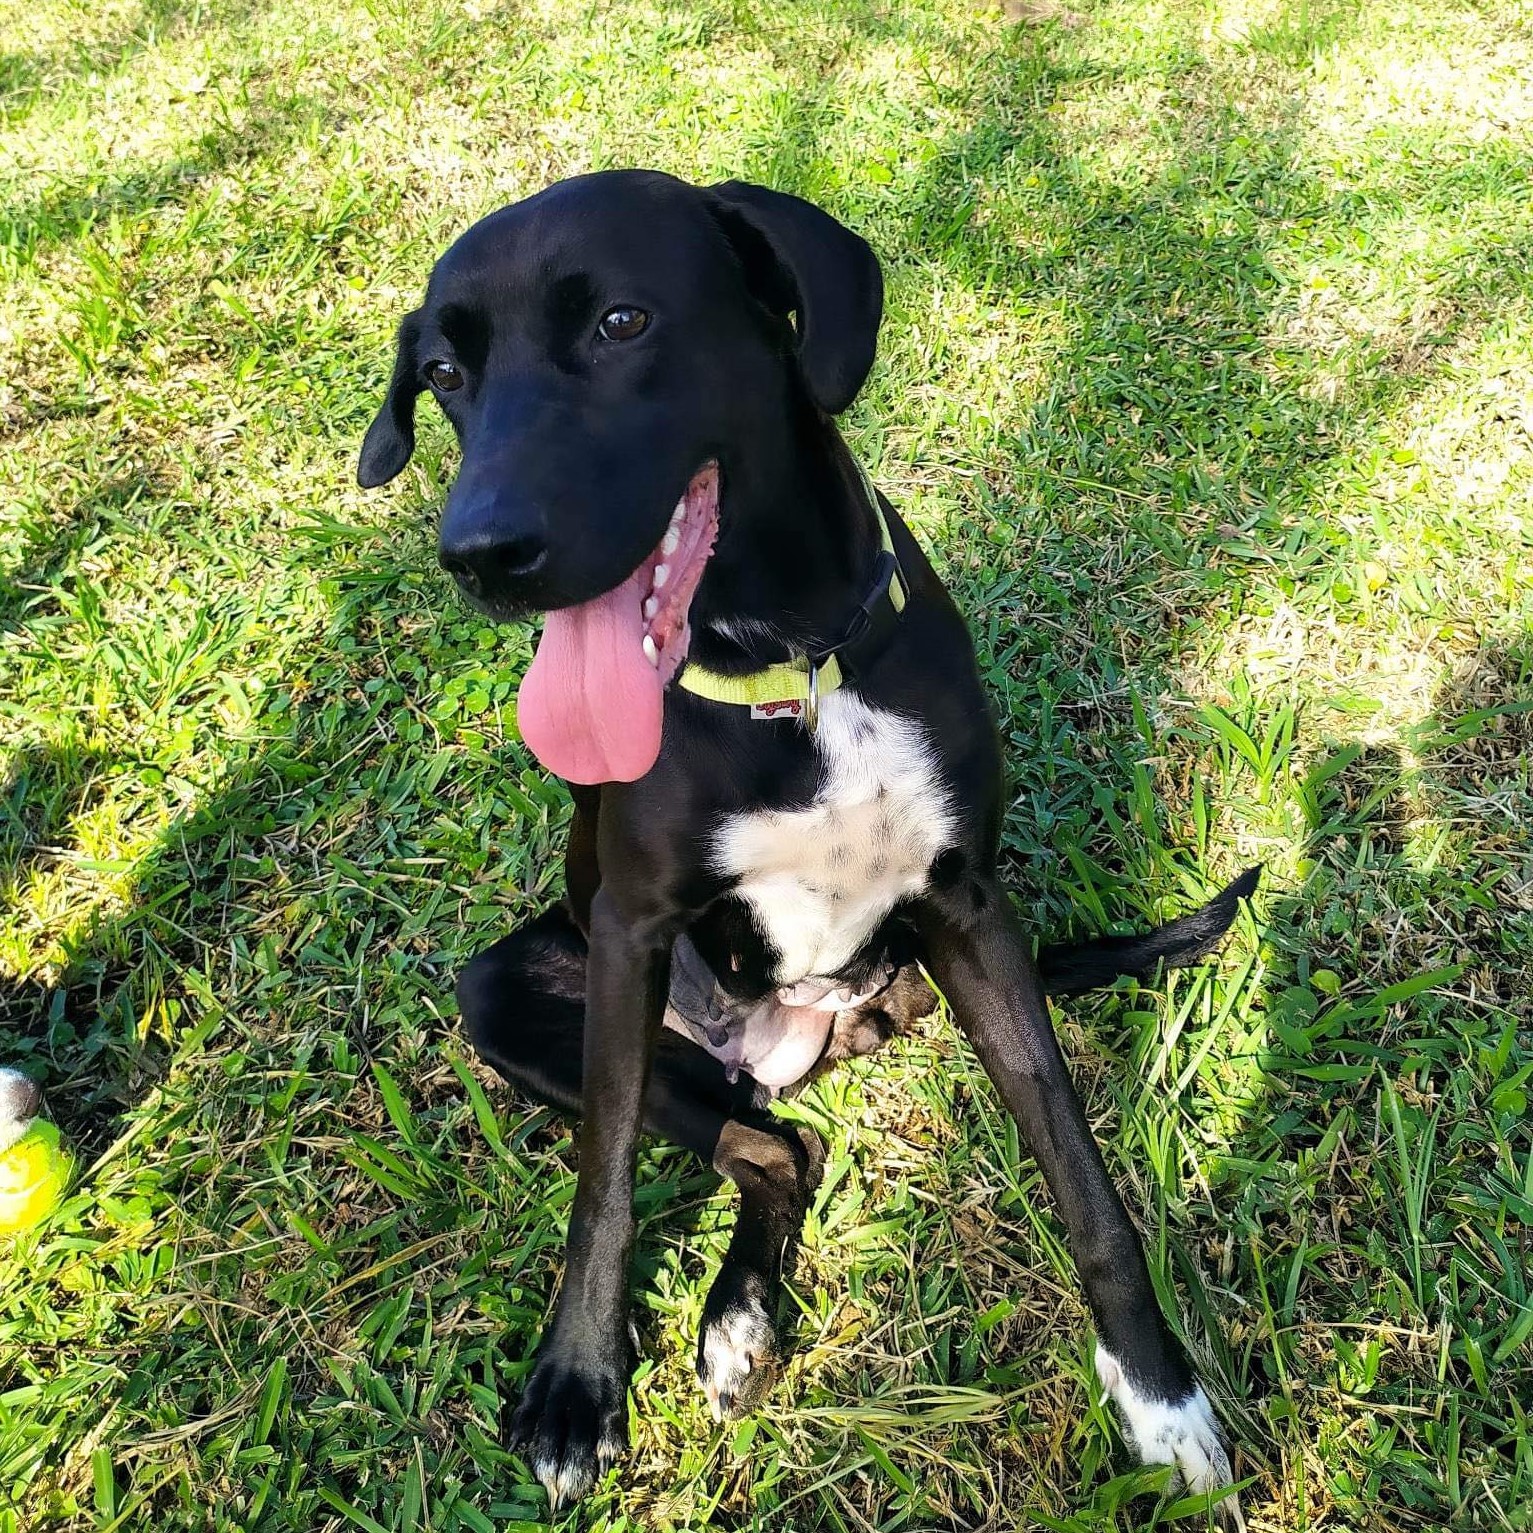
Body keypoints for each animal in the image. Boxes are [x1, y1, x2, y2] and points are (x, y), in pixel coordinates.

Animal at [361, 170, 1257, 1520]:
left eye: (622, 322)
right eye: (445, 372)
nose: (479, 556)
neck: (790, 672)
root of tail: (784, 1045)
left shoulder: (971, 913)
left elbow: (1081, 1174)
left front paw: (1157, 1391)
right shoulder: (628, 933)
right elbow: (601, 1185)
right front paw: (577, 1387)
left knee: (786, 1139)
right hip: (518, 995)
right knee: (772, 1144)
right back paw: (735, 1314)